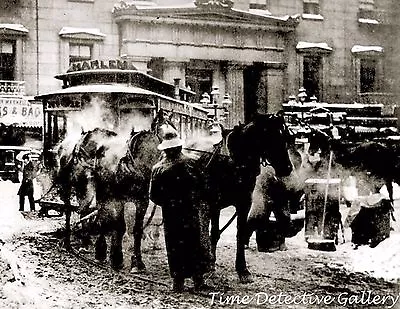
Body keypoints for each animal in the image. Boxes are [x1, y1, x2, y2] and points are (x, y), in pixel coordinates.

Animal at [191, 113, 290, 282]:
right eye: (274, 138)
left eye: (286, 138)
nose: (288, 168)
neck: (235, 161)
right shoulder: (213, 204)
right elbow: (214, 232)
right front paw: (209, 265)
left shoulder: (244, 203)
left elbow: (240, 234)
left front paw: (242, 270)